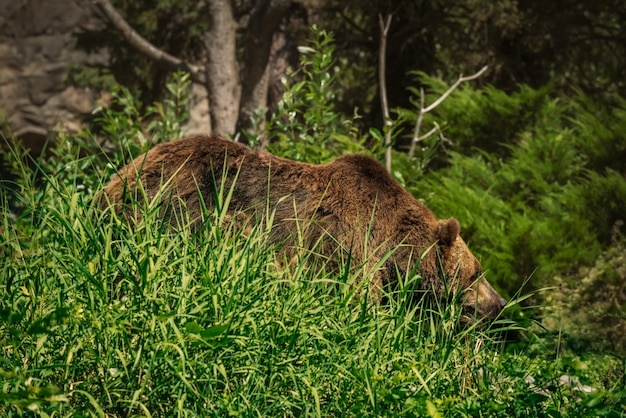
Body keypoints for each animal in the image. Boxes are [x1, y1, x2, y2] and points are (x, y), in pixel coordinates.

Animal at [100, 134, 504, 320]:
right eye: (477, 272)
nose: (499, 302)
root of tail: (116, 181)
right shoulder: (348, 244)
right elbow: (352, 298)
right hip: (179, 206)